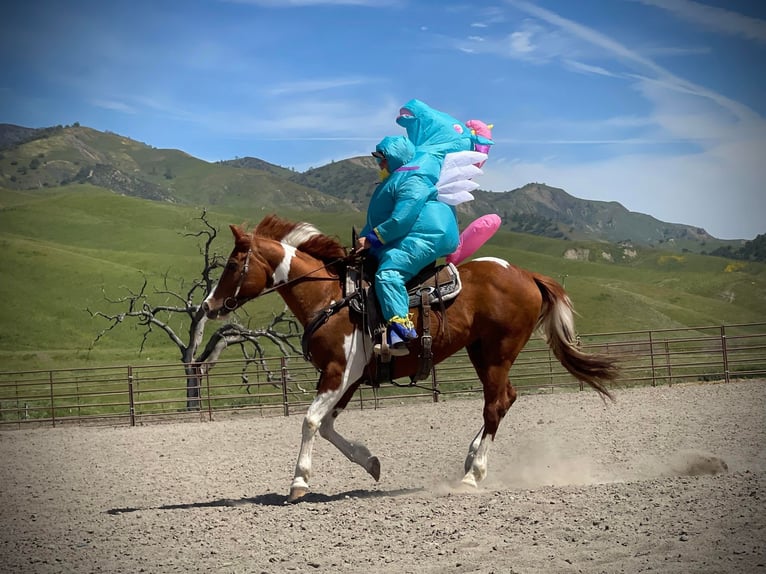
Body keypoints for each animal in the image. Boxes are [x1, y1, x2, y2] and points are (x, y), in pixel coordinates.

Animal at [201, 214, 620, 502]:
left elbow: (310, 421)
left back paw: (473, 474)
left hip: (498, 352)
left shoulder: (338, 372)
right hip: (482, 352)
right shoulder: (348, 378)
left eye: (233, 265)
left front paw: (299, 482)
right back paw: (470, 458)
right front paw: (370, 461)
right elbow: (329, 426)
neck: (332, 298)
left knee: (494, 406)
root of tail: (526, 274)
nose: (208, 306)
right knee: (504, 400)